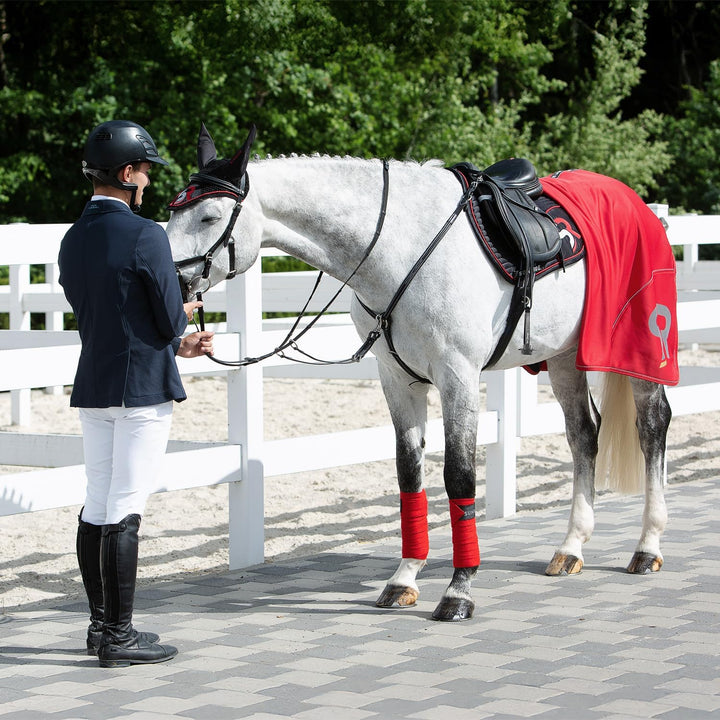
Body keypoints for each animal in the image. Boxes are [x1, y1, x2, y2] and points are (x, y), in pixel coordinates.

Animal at [166, 124, 675, 622]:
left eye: (209, 216)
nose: (169, 280)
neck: (399, 247)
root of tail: (639, 205)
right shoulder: (397, 379)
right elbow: (409, 474)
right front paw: (404, 578)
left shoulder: (458, 376)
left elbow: (459, 477)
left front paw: (459, 589)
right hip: (567, 356)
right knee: (583, 434)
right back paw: (571, 547)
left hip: (641, 352)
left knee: (652, 426)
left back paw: (647, 546)